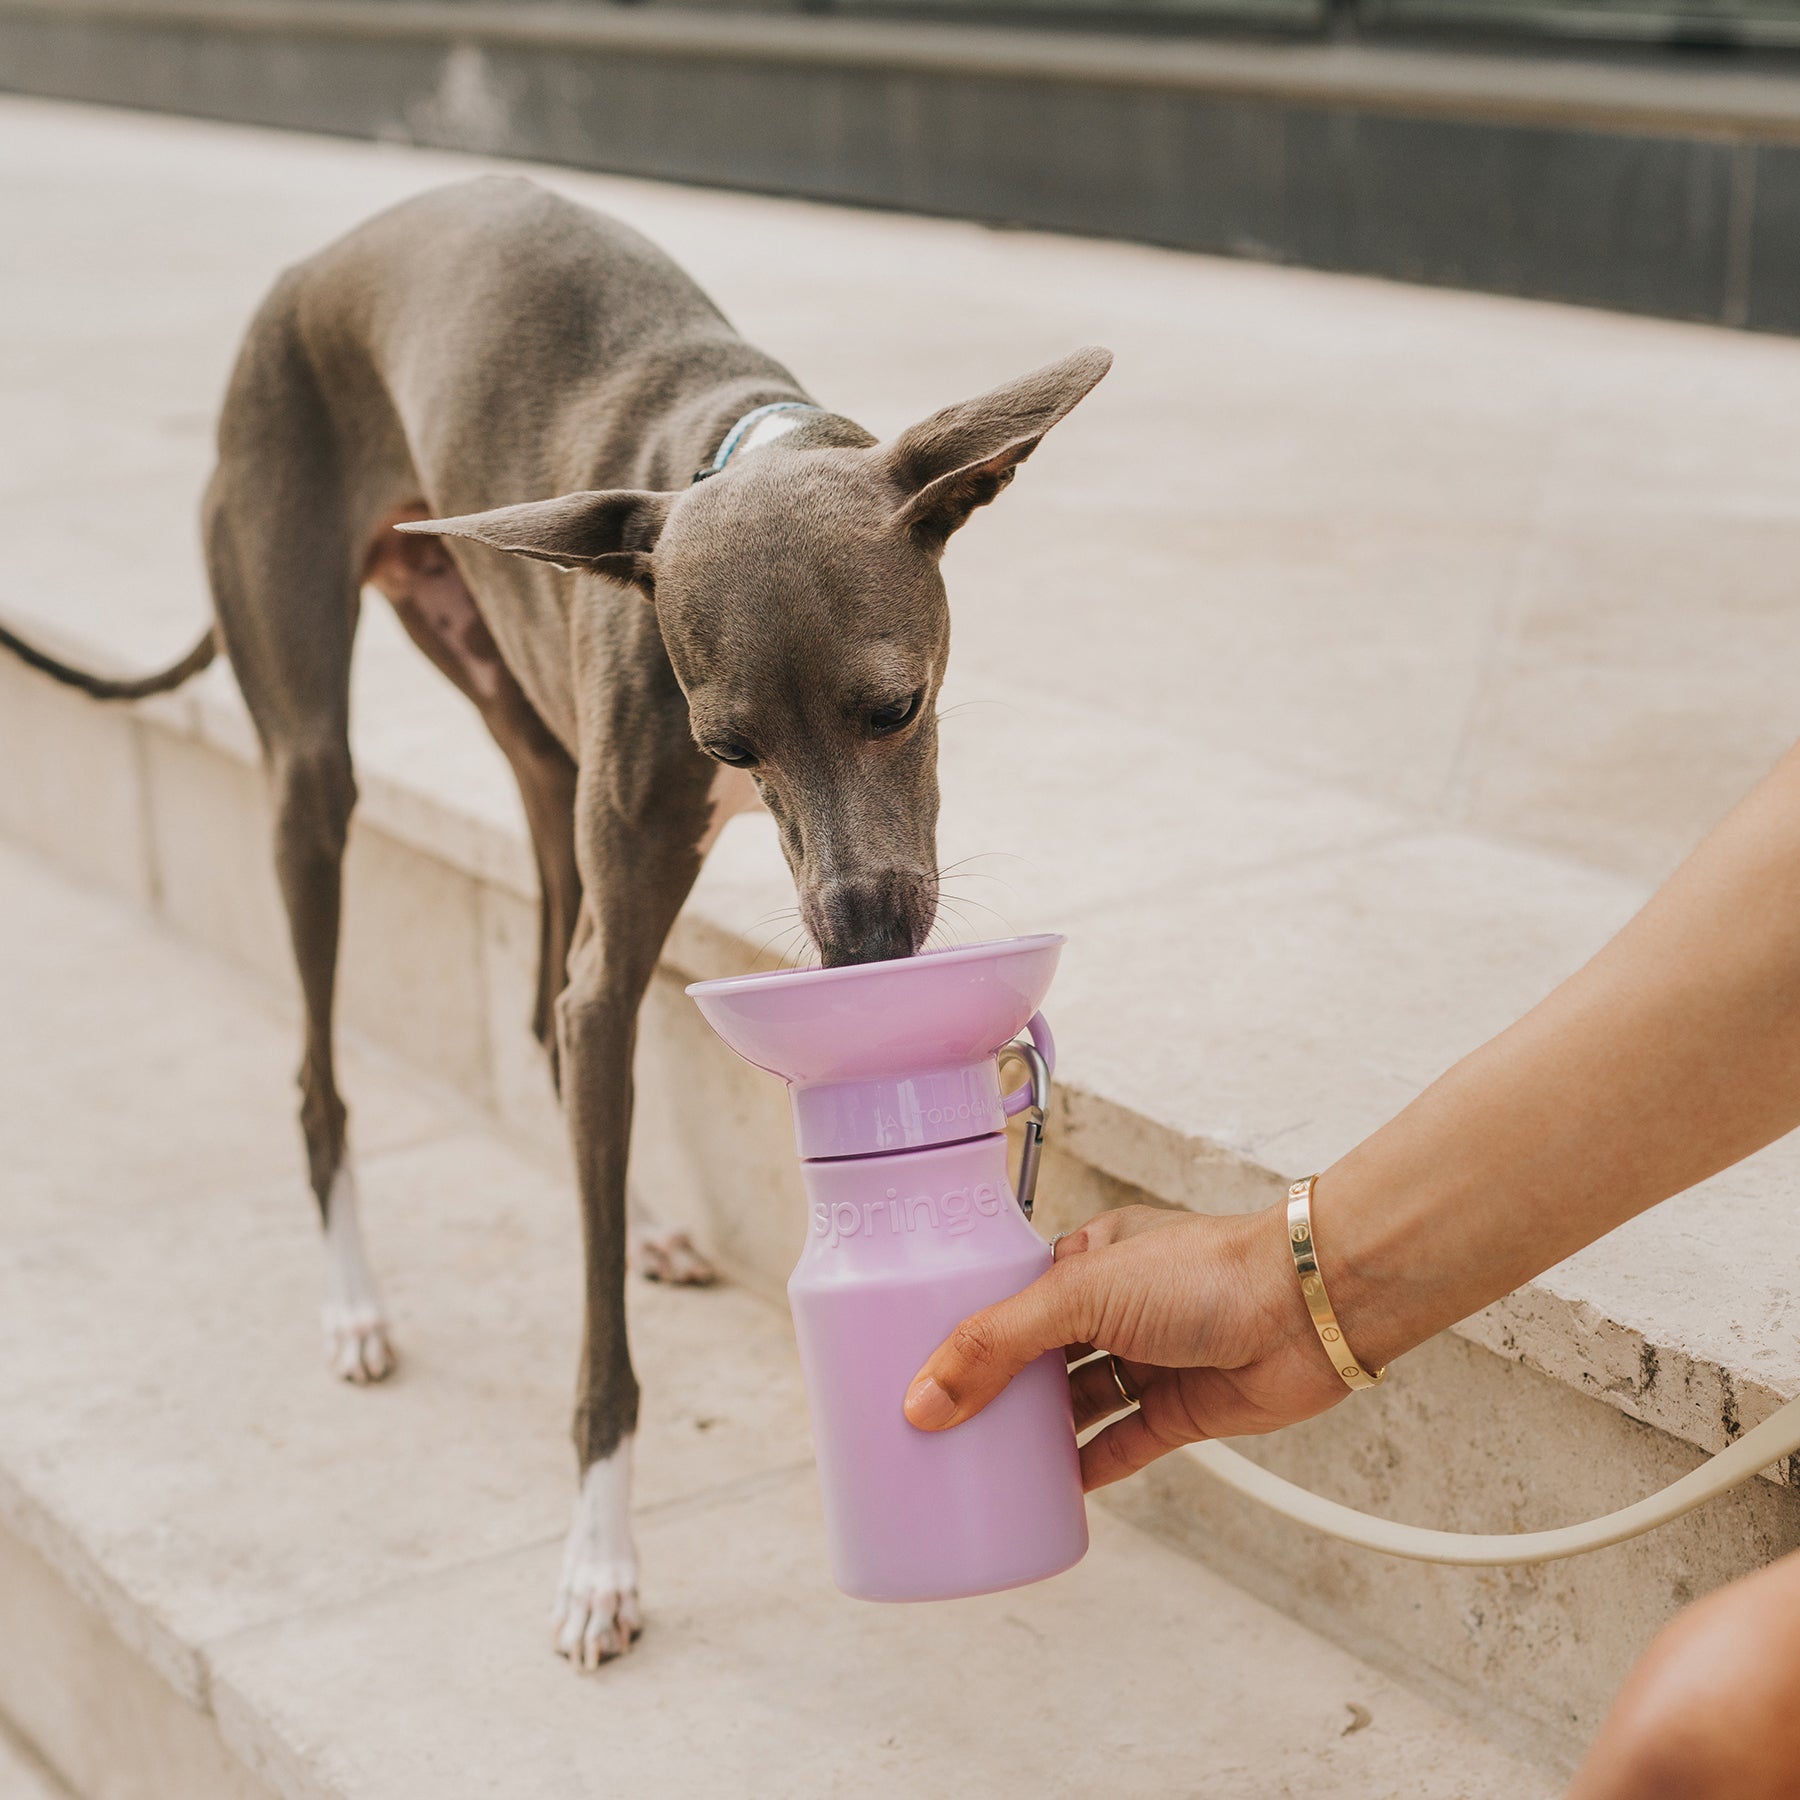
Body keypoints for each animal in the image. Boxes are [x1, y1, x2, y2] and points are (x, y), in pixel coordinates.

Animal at [7, 175, 1108, 1663]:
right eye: (729, 743)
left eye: (897, 707)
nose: (863, 945)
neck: (729, 438)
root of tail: (303, 279)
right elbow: (600, 1350)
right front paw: (598, 1561)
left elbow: (581, 1029)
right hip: (313, 775)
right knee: (325, 1070)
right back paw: (355, 1306)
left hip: (531, 743)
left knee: (544, 1008)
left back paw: (624, 1217)